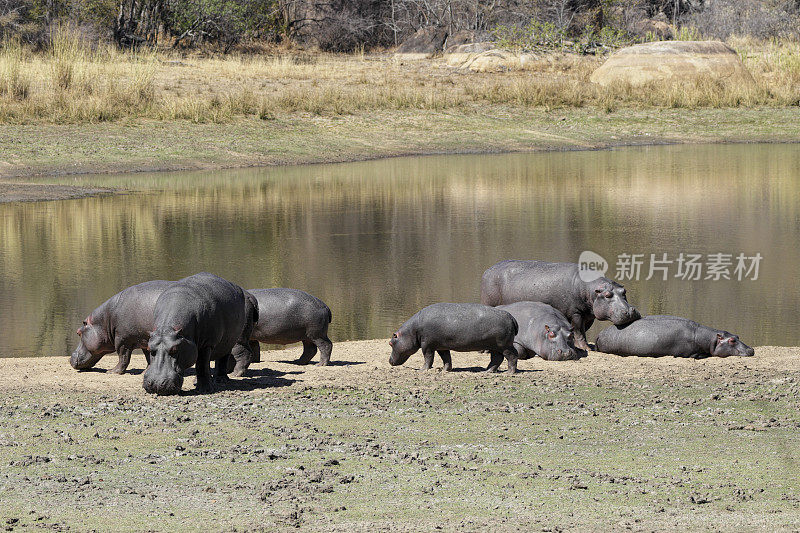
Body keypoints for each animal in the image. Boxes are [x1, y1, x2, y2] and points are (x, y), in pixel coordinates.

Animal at [390, 302, 520, 372]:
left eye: (390, 343)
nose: (389, 360)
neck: (412, 330)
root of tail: (512, 317)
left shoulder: (427, 346)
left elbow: (428, 358)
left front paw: (423, 370)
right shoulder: (441, 346)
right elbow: (446, 358)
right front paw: (444, 370)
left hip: (504, 345)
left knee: (512, 356)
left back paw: (510, 372)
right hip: (495, 346)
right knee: (497, 359)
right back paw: (487, 371)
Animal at [478, 260, 640, 352]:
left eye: (624, 291)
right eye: (607, 295)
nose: (629, 311)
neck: (590, 290)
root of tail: (487, 271)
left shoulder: (588, 315)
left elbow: (582, 331)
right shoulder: (576, 313)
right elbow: (579, 331)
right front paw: (585, 348)